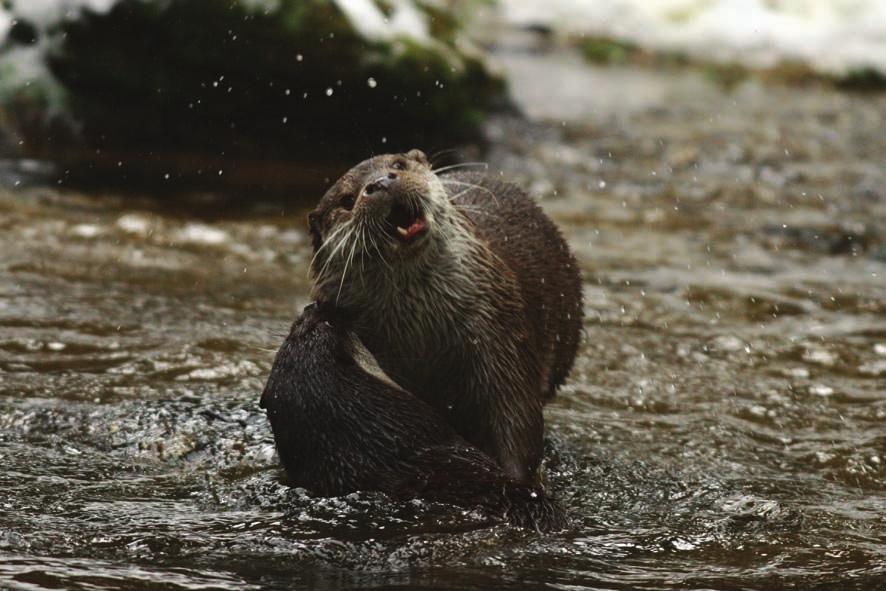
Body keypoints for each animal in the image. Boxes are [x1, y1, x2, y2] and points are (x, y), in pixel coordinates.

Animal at [308, 150, 588, 484]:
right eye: (347, 200)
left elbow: (516, 413)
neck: (423, 335)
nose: (380, 182)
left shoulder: (499, 330)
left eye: (397, 165)